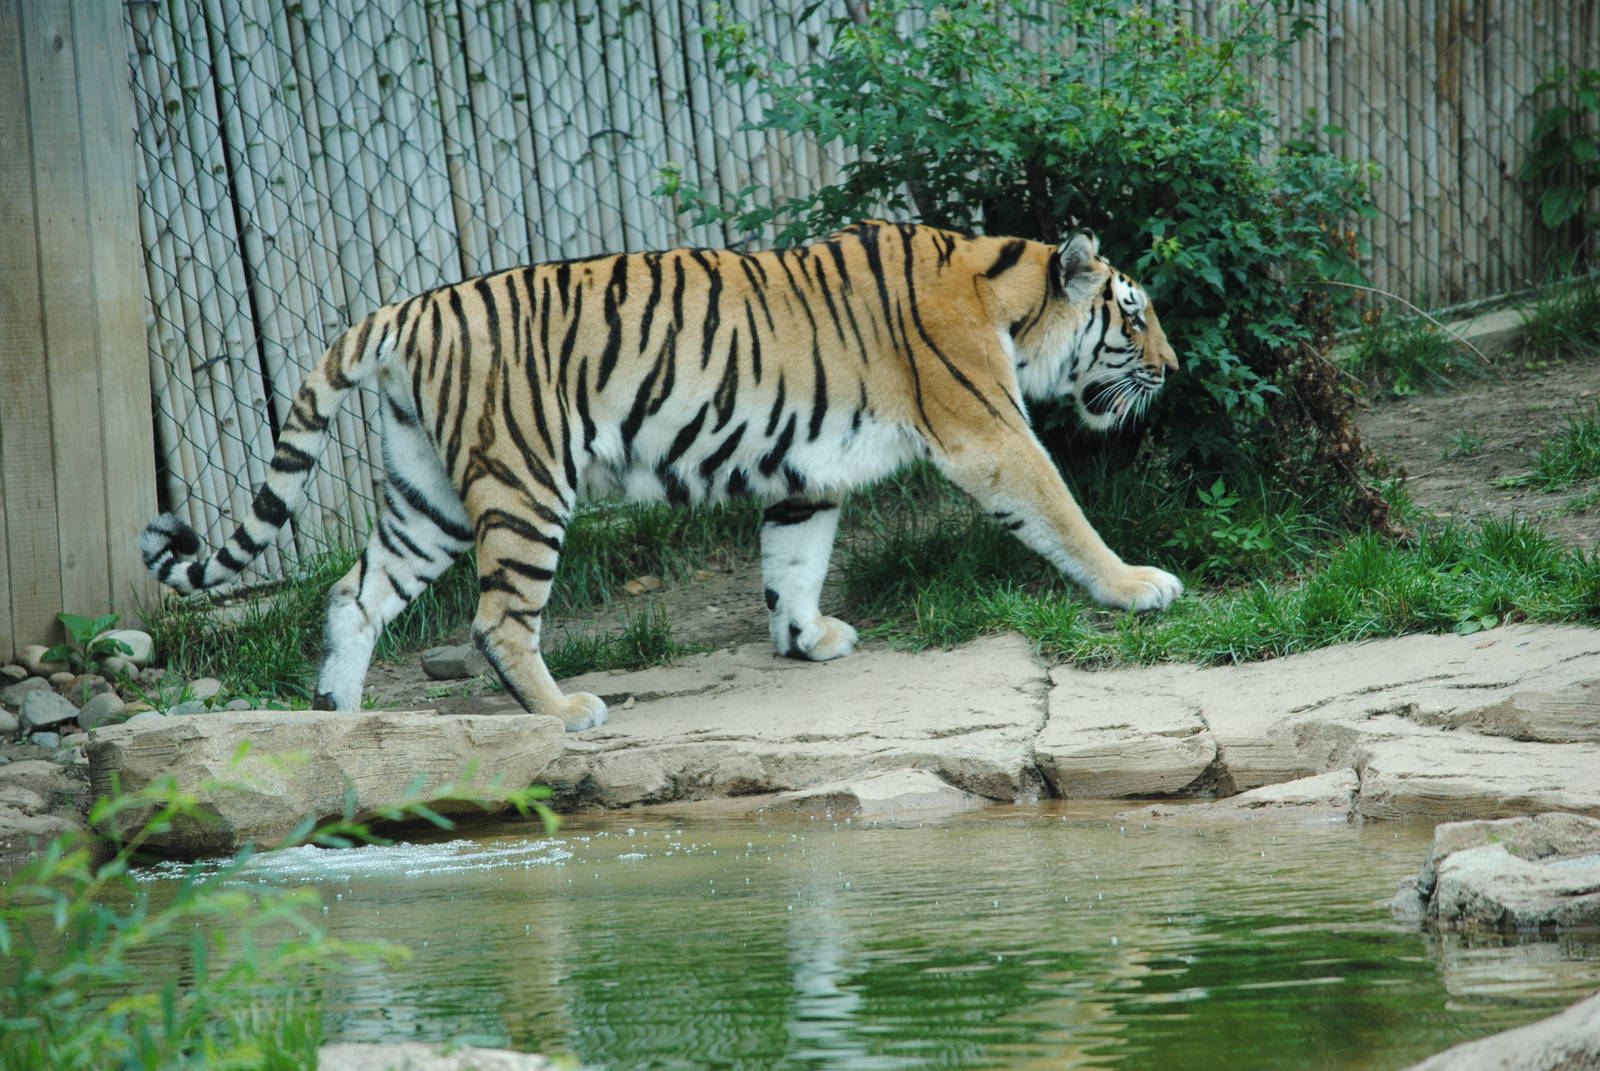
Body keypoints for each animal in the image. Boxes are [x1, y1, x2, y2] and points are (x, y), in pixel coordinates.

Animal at [141, 221, 1181, 731]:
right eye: (1132, 317)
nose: (1173, 370)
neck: (1004, 293)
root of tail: (405, 308)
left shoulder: (809, 468)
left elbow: (793, 559)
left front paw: (806, 638)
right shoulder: (988, 431)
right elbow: (1062, 512)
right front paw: (1138, 585)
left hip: (426, 496)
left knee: (354, 594)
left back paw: (340, 722)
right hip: (523, 482)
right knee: (496, 619)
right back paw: (564, 712)